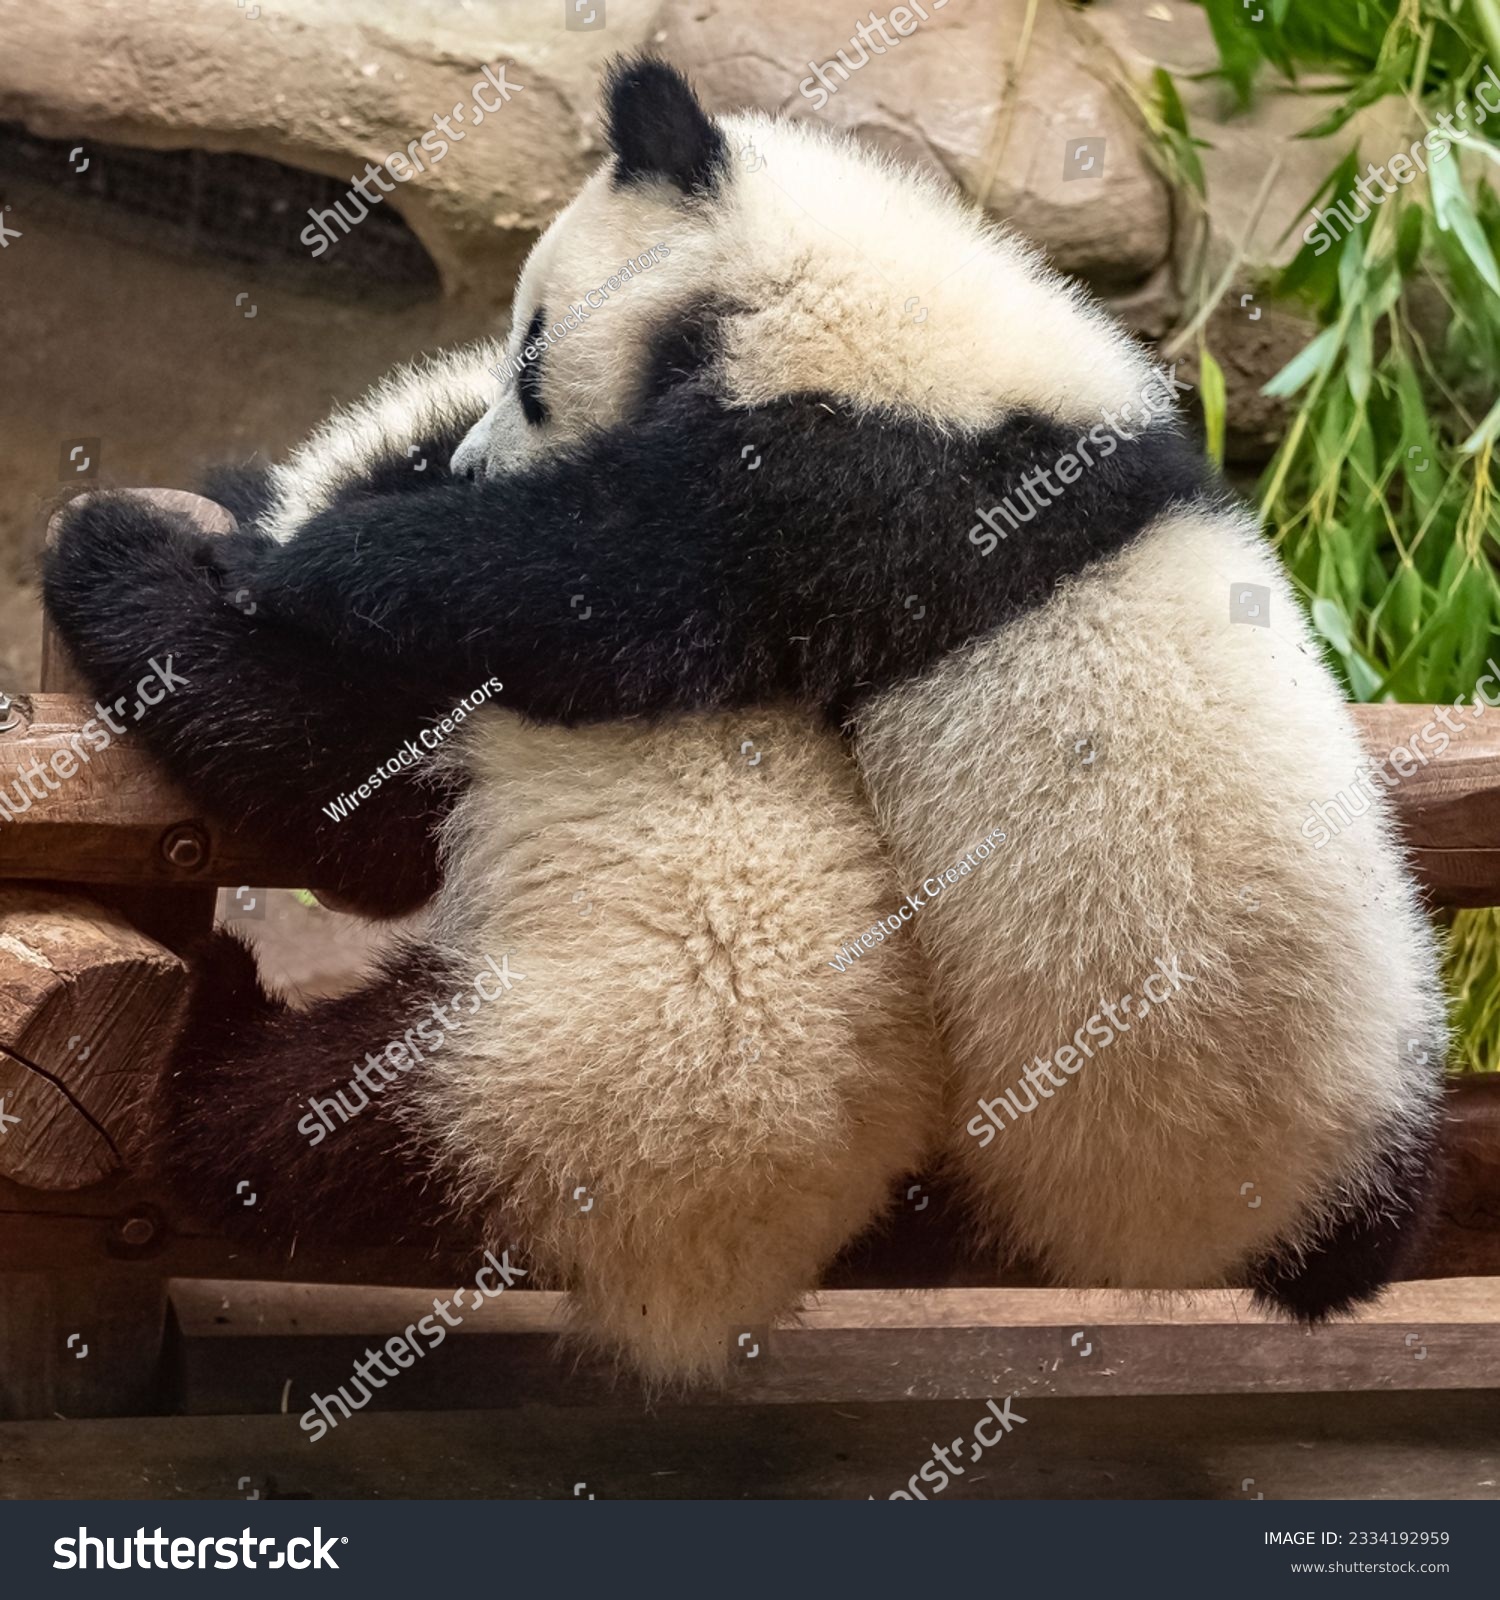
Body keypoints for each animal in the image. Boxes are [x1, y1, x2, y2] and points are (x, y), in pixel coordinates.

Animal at [43, 57, 1447, 1383]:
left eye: (533, 357)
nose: (474, 462)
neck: (877, 299)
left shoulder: (863, 489)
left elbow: (590, 604)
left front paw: (266, 562)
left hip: (579, 1078)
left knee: (313, 1125)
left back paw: (224, 1048)